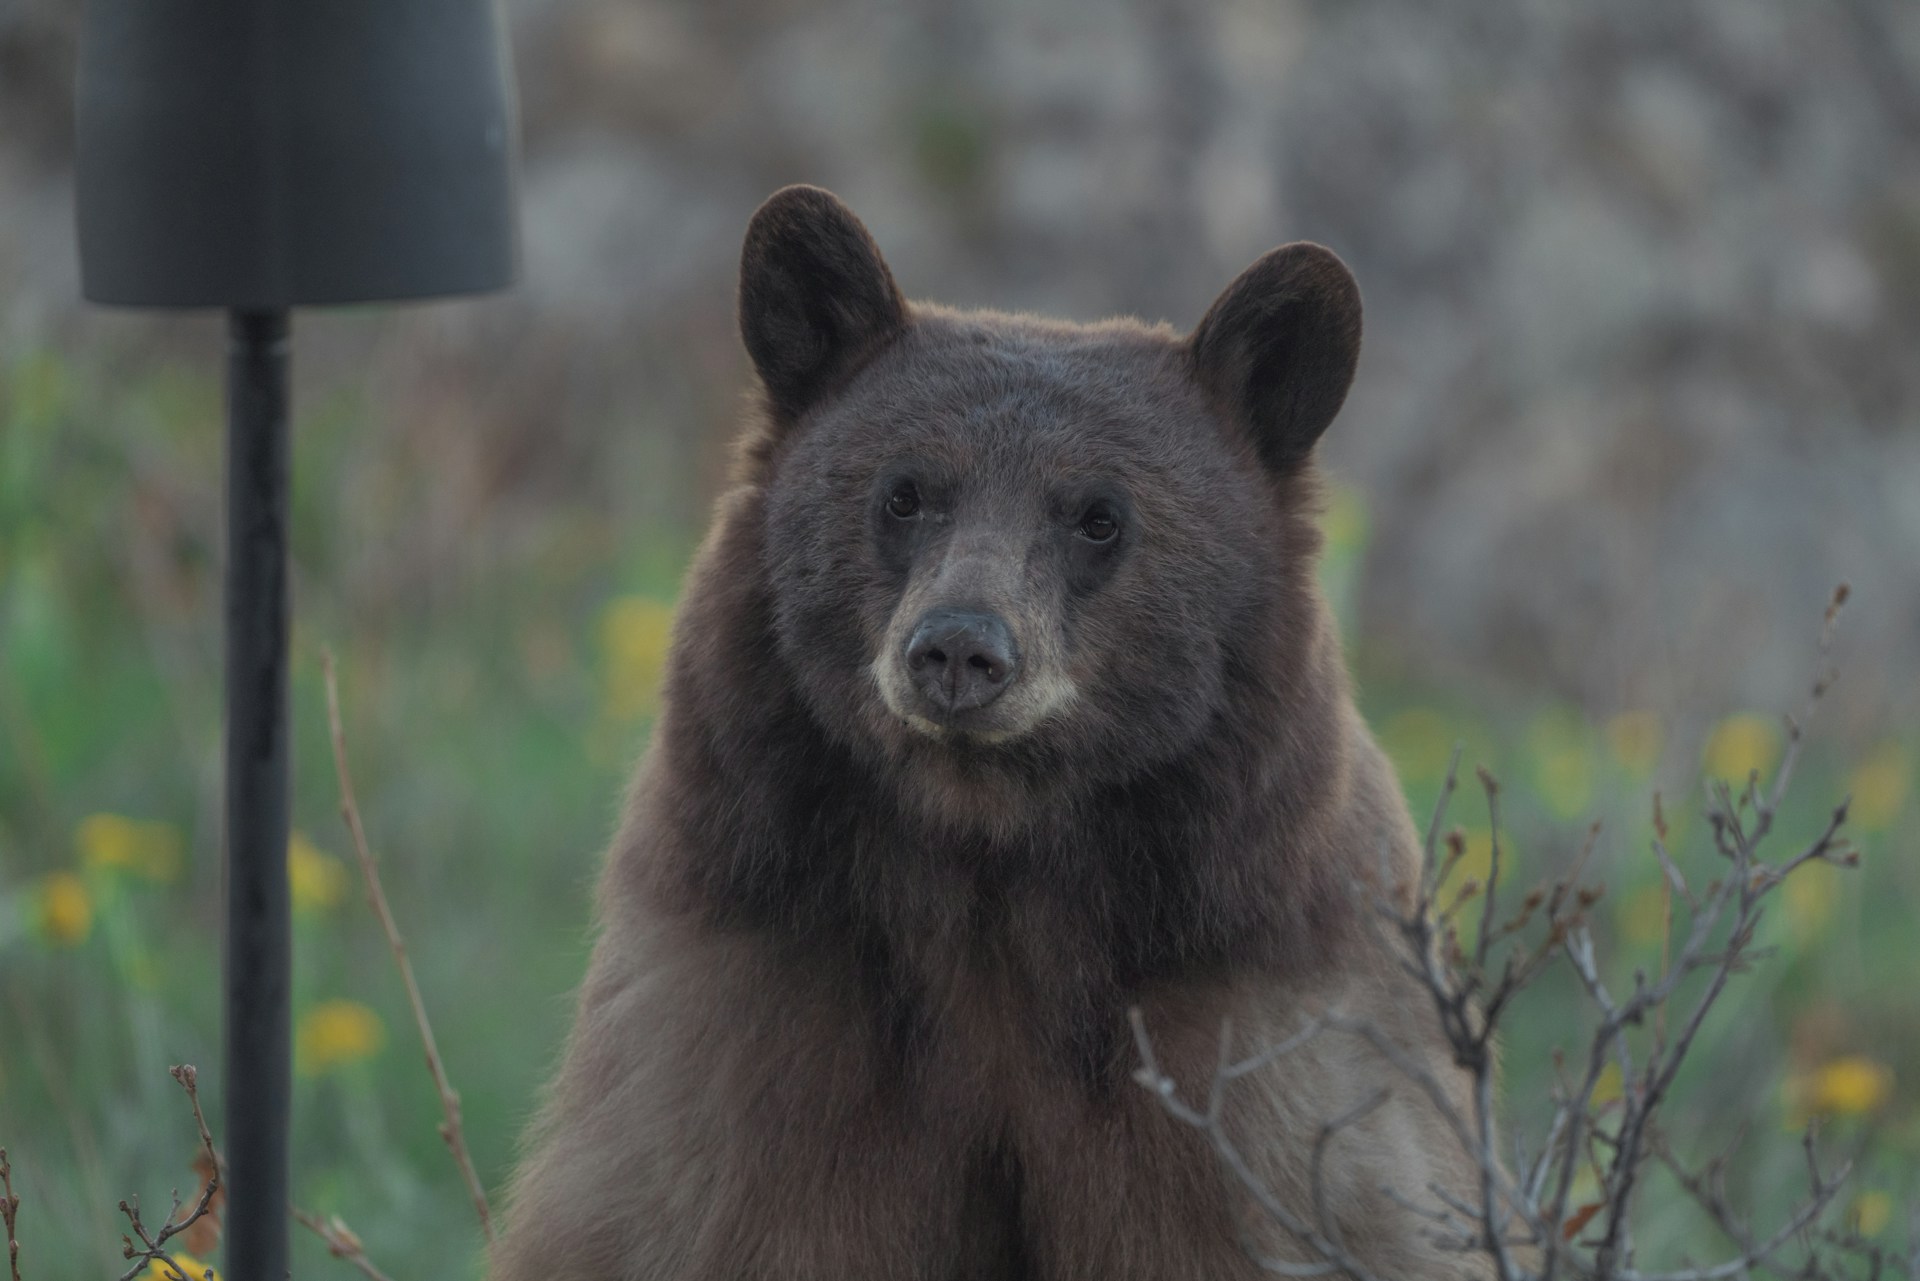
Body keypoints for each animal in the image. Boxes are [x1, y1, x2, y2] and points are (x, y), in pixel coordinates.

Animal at [495, 185, 1482, 1275]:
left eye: (1100, 516)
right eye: (904, 493)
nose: (959, 649)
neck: (992, 872)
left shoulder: (1262, 1044)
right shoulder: (751, 1006)